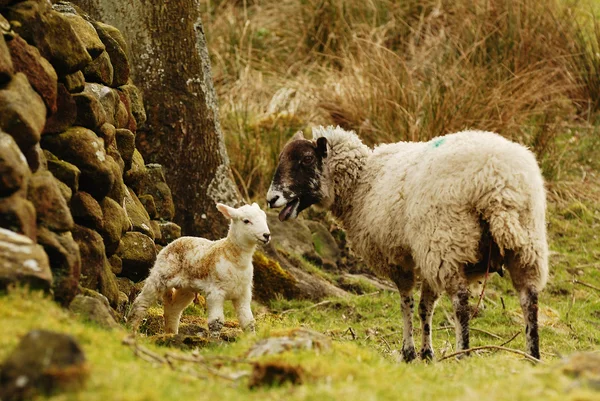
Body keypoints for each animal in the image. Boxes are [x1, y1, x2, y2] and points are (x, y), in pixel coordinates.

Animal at [127, 200, 270, 334]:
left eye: (264, 218)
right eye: (246, 221)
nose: (266, 235)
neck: (233, 258)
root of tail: (174, 241)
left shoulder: (243, 294)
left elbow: (248, 322)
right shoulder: (216, 291)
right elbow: (216, 322)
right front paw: (215, 342)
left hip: (185, 288)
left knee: (173, 310)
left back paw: (171, 334)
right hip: (161, 274)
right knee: (141, 303)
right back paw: (132, 329)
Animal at [268, 126, 548, 360]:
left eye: (306, 160)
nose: (271, 198)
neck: (361, 184)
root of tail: (498, 182)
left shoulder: (401, 259)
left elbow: (407, 304)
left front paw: (409, 352)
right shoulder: (422, 255)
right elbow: (425, 307)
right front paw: (426, 353)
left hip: (447, 239)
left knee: (461, 302)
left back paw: (463, 353)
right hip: (526, 242)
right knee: (529, 299)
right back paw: (533, 355)